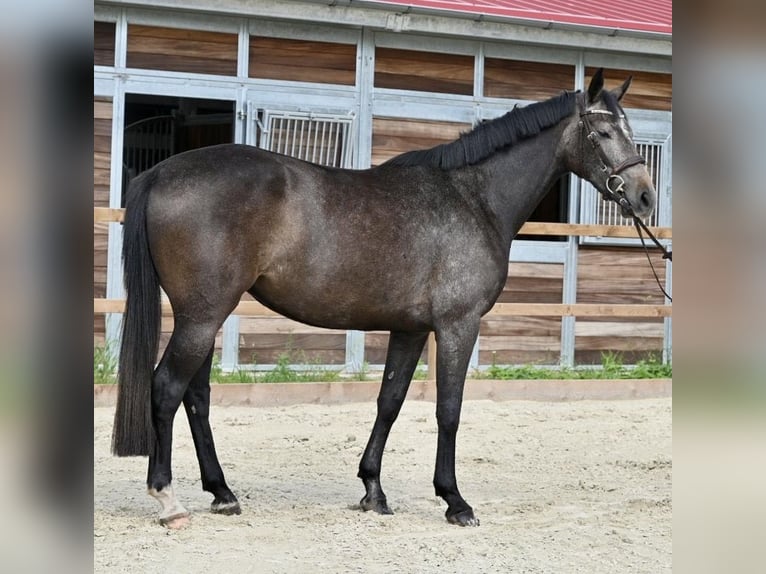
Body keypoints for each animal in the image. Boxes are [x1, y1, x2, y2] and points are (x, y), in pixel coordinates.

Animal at [111, 71, 656, 532]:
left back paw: (222, 493)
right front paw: (455, 501)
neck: (473, 198)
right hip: (202, 315)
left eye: (630, 130)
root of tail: (160, 173)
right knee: (167, 388)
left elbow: (389, 402)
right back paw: (168, 500)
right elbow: (448, 409)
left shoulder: (410, 328)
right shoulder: (458, 326)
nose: (645, 197)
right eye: (603, 132)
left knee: (196, 396)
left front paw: (373, 490)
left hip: (206, 313)